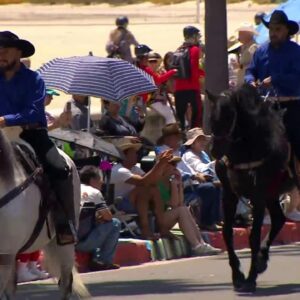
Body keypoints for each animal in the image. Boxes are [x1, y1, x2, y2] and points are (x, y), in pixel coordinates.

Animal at [206, 84, 296, 292]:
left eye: (229, 115)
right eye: (211, 117)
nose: (214, 150)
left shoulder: (258, 196)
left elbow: (254, 236)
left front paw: (250, 278)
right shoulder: (229, 195)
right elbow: (227, 232)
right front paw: (238, 276)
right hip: (272, 195)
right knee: (278, 219)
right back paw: (262, 259)